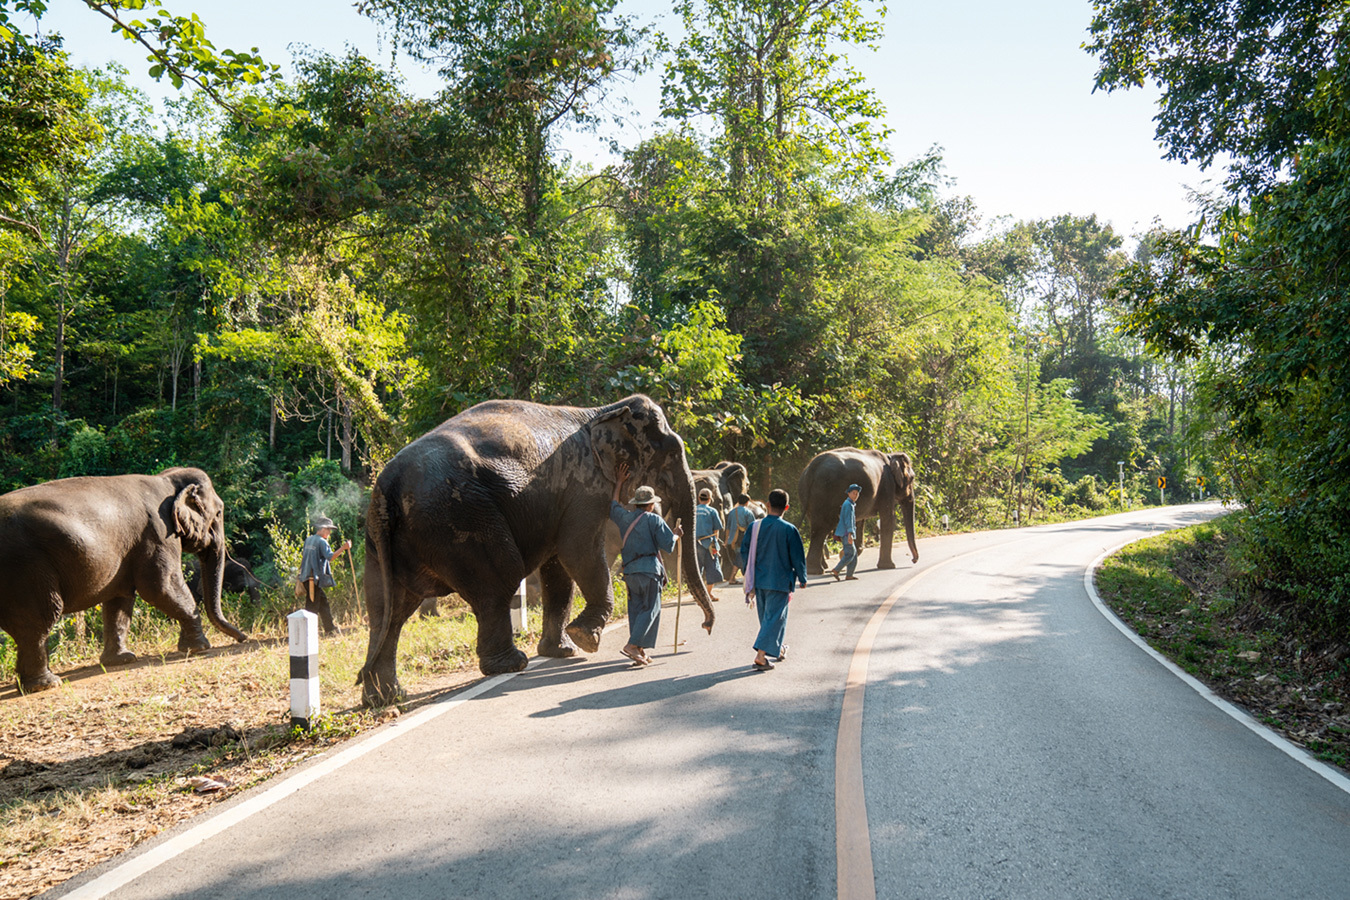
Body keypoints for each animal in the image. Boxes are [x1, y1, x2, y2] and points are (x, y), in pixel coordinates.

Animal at [0, 469, 248, 696]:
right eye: (218, 513)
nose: (243, 638)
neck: (165, 478)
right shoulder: (158, 534)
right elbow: (160, 587)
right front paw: (200, 648)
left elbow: (119, 599)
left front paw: (122, 660)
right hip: (26, 568)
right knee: (38, 620)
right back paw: (45, 684)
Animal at [359, 394, 718, 712]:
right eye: (671, 452)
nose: (705, 627)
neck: (603, 411)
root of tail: (388, 484)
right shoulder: (584, 487)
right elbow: (579, 552)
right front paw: (586, 639)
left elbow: (558, 569)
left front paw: (563, 651)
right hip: (458, 518)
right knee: (498, 583)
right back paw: (510, 665)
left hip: (382, 541)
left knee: (388, 611)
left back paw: (386, 698)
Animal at [793, 447, 923, 577]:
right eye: (912, 478)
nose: (913, 560)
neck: (891, 456)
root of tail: (813, 466)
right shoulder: (887, 485)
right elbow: (888, 518)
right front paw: (888, 567)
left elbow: (858, 521)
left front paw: (844, 554)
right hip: (825, 493)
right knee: (822, 529)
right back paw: (816, 571)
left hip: (808, 495)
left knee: (816, 528)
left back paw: (816, 570)